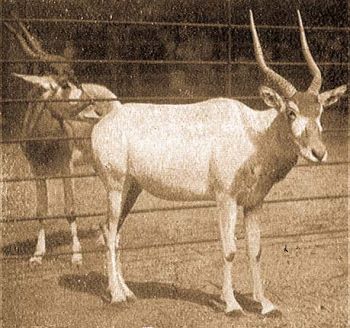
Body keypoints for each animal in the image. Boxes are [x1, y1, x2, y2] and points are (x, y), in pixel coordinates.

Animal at [5, 13, 119, 266]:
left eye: (77, 81)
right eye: (65, 84)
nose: (96, 111)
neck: (43, 139)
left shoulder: (67, 167)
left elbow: (70, 209)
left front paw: (76, 255)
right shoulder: (36, 170)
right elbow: (41, 210)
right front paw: (37, 255)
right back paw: (103, 236)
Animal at [82, 10, 348, 316]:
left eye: (320, 110)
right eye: (291, 112)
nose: (319, 152)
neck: (256, 136)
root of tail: (106, 119)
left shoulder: (253, 203)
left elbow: (255, 249)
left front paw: (266, 304)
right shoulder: (225, 198)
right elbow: (229, 249)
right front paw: (232, 305)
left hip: (131, 188)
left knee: (114, 233)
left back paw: (127, 291)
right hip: (114, 186)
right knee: (109, 230)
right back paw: (115, 295)